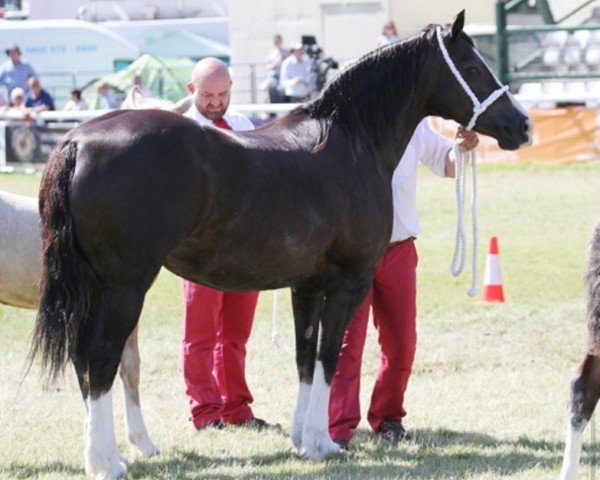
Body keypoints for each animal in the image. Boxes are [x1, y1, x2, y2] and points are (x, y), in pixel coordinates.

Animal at [29, 12, 528, 480]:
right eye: (472, 65)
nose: (521, 125)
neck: (350, 141)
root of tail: (77, 141)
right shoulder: (348, 282)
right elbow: (330, 355)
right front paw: (324, 442)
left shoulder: (305, 285)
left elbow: (304, 355)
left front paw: (301, 439)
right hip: (125, 287)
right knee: (100, 355)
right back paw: (105, 461)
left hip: (95, 287)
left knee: (82, 357)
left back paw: (107, 453)